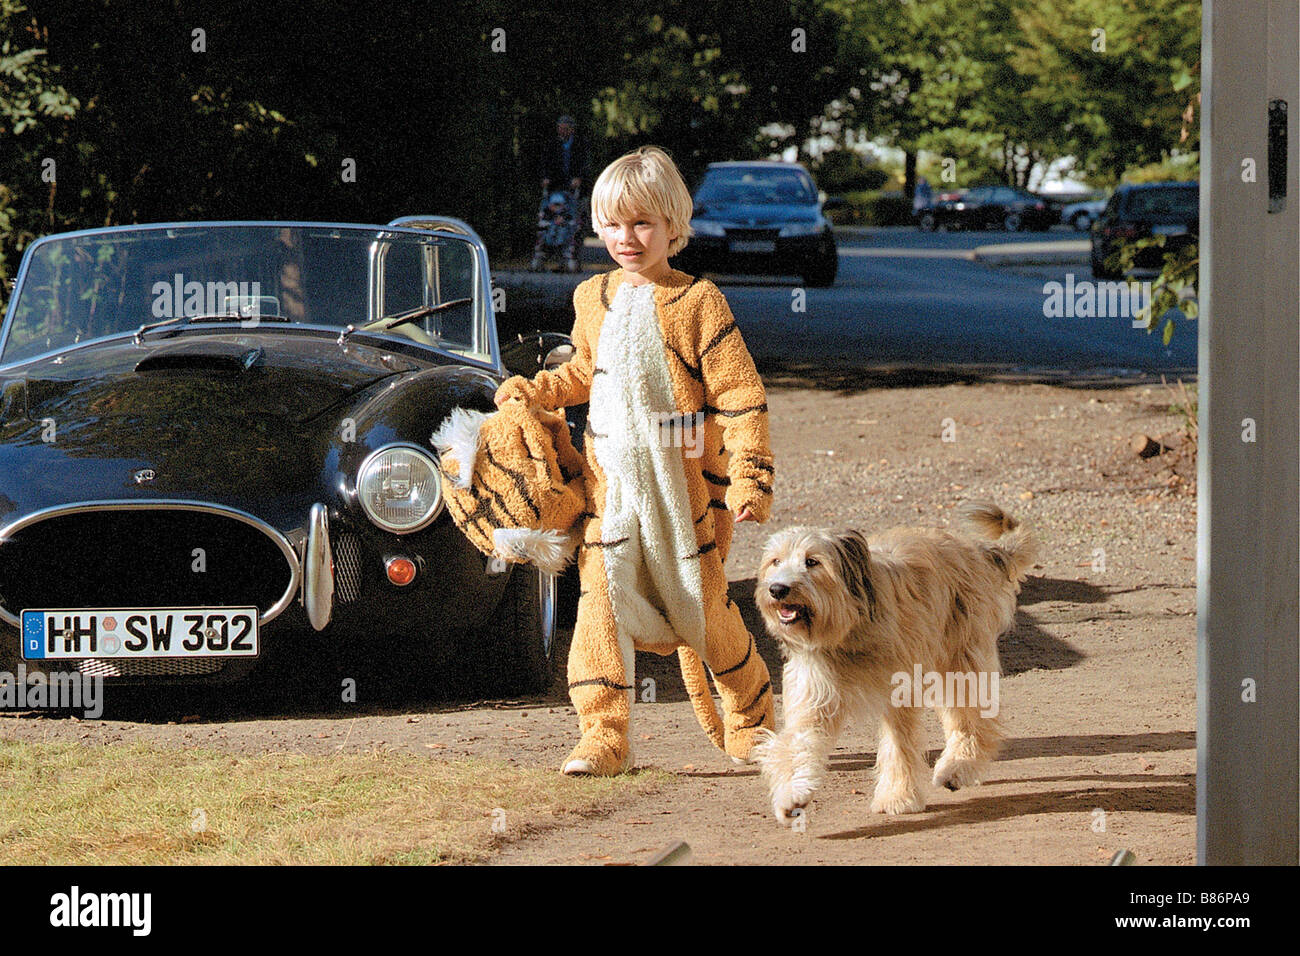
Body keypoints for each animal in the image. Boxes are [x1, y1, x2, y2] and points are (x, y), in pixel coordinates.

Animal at [754, 504, 1034, 827]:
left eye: (812, 561)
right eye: (775, 561)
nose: (777, 589)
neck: (847, 632)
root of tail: (977, 549)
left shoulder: (899, 692)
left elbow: (899, 746)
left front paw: (897, 797)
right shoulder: (815, 694)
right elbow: (798, 744)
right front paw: (791, 796)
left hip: (960, 659)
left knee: (970, 720)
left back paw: (958, 768)